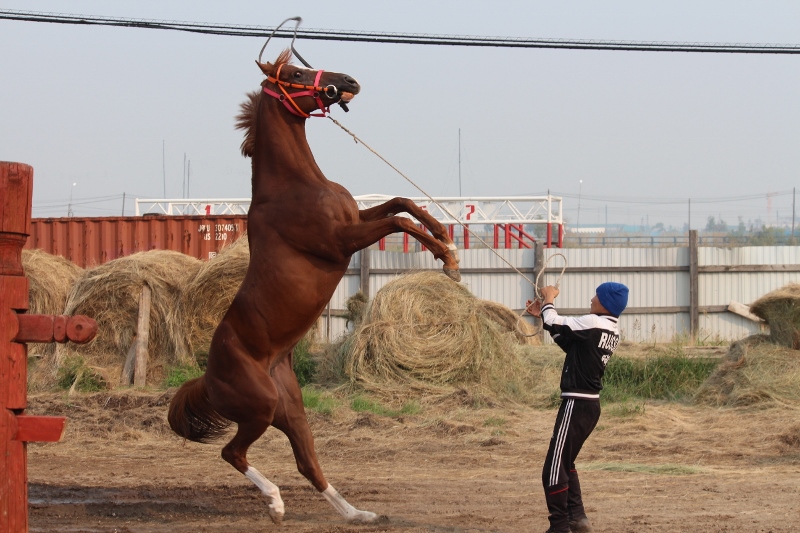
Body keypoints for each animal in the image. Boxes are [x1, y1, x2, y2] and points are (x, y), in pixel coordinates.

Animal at [167, 50, 462, 524]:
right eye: (295, 73)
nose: (350, 82)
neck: (294, 186)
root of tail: (208, 379)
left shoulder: (355, 220)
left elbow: (402, 203)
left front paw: (447, 246)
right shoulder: (341, 240)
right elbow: (398, 220)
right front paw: (448, 258)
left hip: (291, 411)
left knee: (308, 462)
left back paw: (358, 514)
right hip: (260, 408)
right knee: (233, 453)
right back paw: (275, 503)